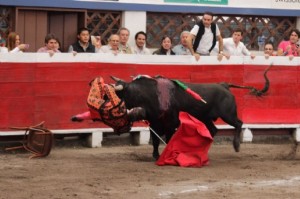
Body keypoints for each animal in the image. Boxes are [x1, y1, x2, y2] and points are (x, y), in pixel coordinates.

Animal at [111, 67, 270, 160]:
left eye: (119, 94)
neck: (150, 94)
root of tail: (224, 85)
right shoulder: (154, 123)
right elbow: (155, 141)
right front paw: (156, 155)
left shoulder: (170, 124)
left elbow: (169, 139)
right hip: (206, 117)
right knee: (213, 130)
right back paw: (201, 148)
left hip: (227, 115)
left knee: (238, 123)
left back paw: (236, 145)